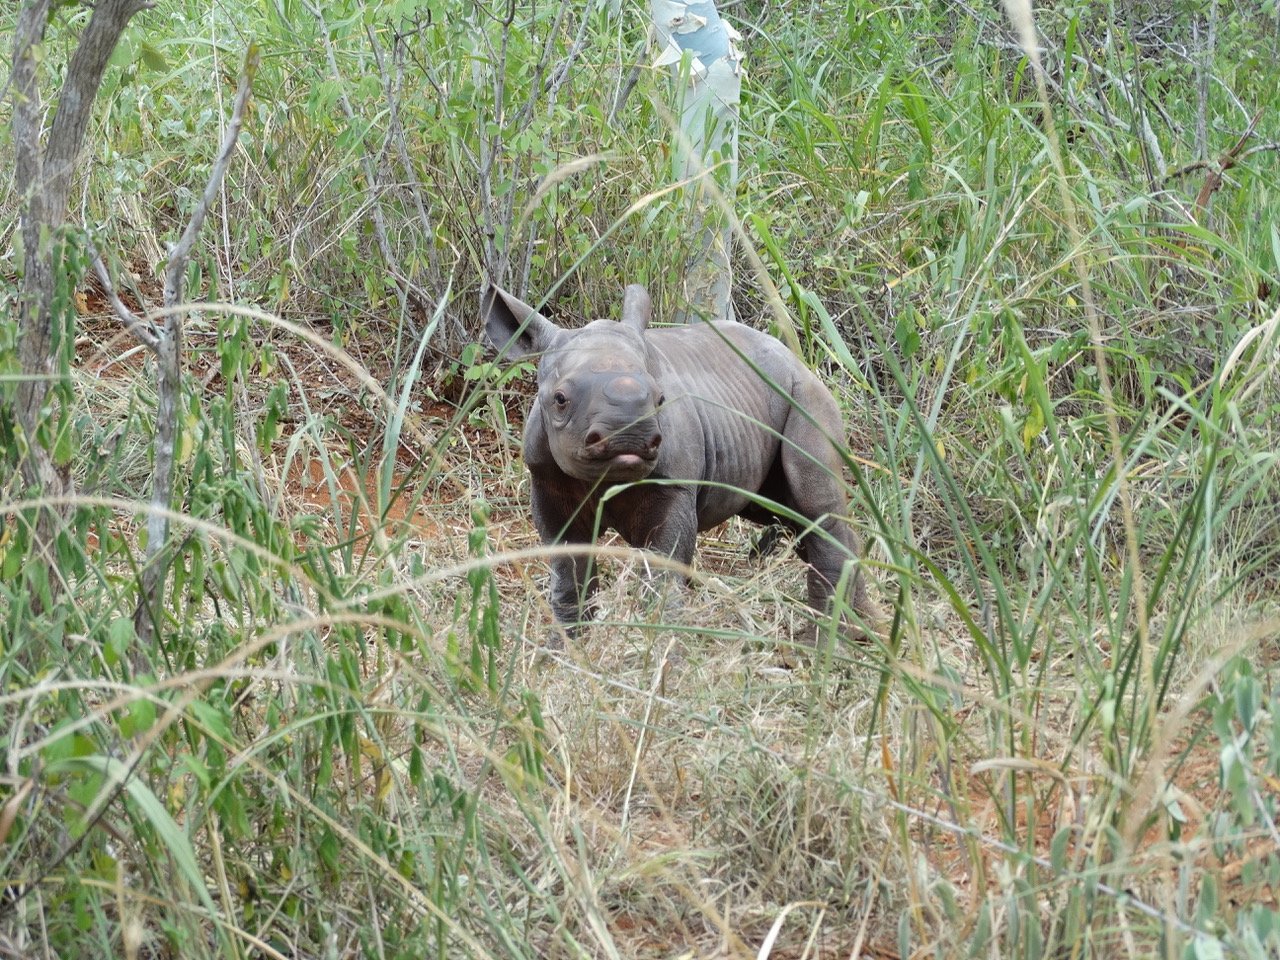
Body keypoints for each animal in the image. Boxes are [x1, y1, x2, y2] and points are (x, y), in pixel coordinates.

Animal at [481, 285, 880, 647]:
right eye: (560, 400)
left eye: (661, 399)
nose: (630, 434)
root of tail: (794, 358)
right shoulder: (547, 480)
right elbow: (569, 570)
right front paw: (562, 651)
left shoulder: (672, 485)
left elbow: (663, 573)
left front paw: (658, 651)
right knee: (788, 515)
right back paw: (864, 632)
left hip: (805, 395)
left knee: (814, 508)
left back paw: (819, 648)